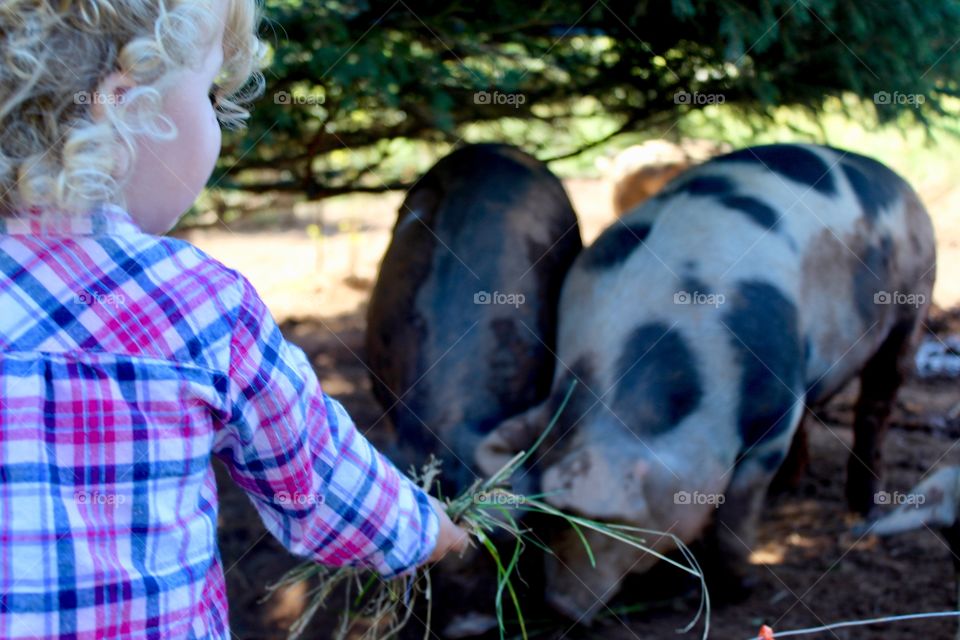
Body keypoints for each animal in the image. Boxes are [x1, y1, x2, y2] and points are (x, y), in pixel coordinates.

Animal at [480, 144, 936, 620]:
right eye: (543, 518)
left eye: (604, 523)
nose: (560, 607)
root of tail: (893, 178)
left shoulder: (774, 412)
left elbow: (736, 512)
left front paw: (740, 588)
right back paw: (788, 489)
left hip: (914, 299)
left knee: (878, 400)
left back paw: (861, 510)